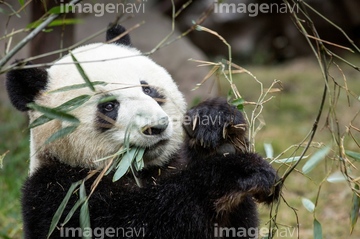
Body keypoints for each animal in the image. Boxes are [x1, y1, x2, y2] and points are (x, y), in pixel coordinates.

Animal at [4, 25, 282, 238]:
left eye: (147, 89)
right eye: (109, 106)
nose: (156, 126)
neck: (143, 170)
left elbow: (236, 226)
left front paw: (214, 122)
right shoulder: (61, 195)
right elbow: (143, 221)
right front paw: (239, 171)